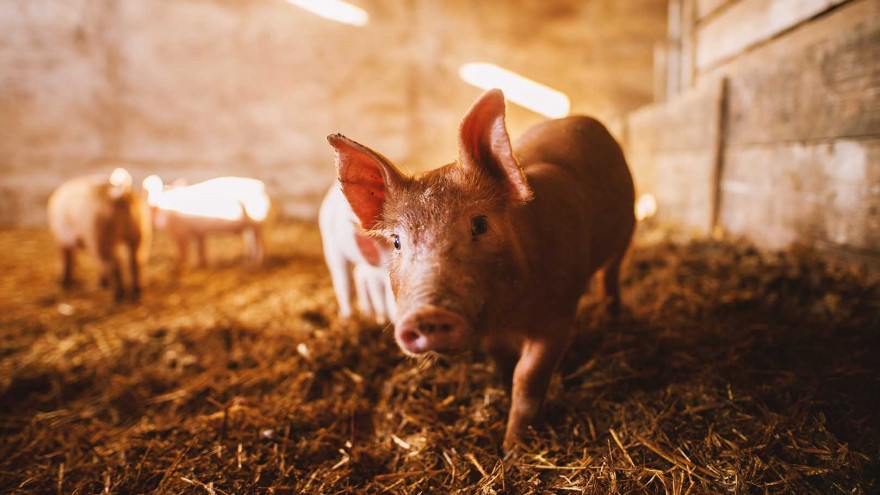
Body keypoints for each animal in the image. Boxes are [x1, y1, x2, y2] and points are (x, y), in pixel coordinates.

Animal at [47, 168, 152, 301]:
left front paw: (64, 284)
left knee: (114, 265)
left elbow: (67, 261)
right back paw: (135, 293)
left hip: (101, 236)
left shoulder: (62, 239)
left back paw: (117, 297)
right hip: (140, 233)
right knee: (136, 261)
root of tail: (119, 194)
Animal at [143, 175, 272, 268]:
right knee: (254, 243)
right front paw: (203, 264)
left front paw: (184, 266)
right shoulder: (198, 232)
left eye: (159, 189)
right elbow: (201, 248)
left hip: (259, 223)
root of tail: (264, 189)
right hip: (252, 227)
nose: (152, 205)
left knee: (262, 245)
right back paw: (248, 262)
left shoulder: (182, 232)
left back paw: (256, 265)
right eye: (146, 191)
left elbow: (183, 252)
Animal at [319, 184, 396, 324]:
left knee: (358, 273)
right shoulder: (375, 273)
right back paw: (346, 319)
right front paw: (381, 320)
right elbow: (378, 297)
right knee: (342, 281)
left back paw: (366, 313)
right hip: (330, 243)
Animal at [328, 89, 635, 451]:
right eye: (397, 242)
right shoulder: (493, 332)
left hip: (627, 229)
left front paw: (512, 449)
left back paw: (612, 318)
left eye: (479, 224)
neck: (510, 315)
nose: (426, 314)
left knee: (611, 276)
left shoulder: (559, 315)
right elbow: (504, 366)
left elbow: (527, 377)